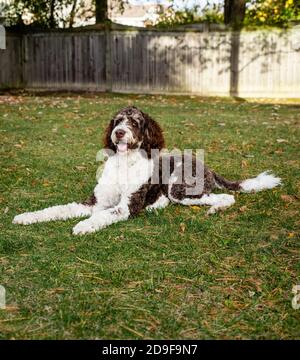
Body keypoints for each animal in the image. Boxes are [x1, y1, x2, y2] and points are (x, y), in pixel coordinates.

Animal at [13, 105, 282, 235]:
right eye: (117, 121)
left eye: (135, 122)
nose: (119, 132)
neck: (124, 163)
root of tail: (208, 167)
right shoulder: (94, 202)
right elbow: (58, 209)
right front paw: (27, 216)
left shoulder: (125, 206)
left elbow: (102, 216)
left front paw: (84, 226)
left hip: (179, 189)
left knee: (222, 196)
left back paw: (214, 208)